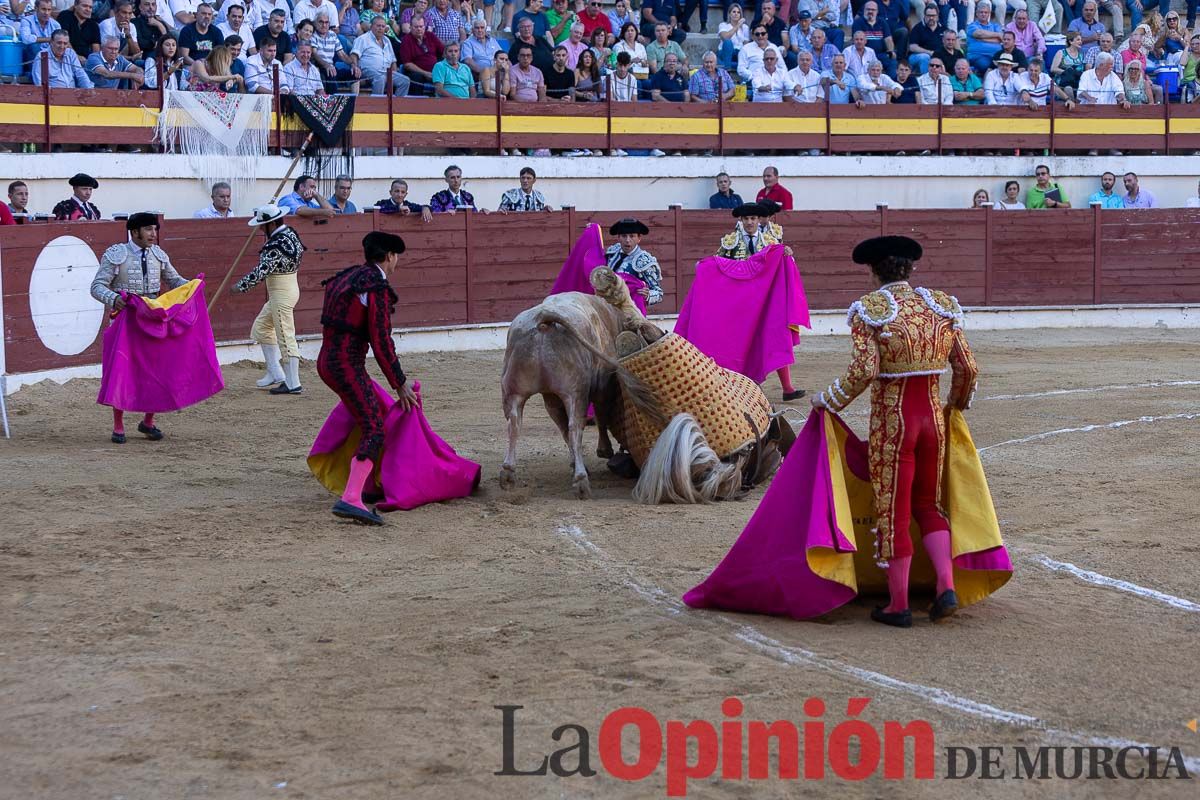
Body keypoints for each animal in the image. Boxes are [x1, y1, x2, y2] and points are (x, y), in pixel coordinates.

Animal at [499, 291, 624, 496]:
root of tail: (542, 318)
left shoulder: (550, 397)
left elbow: (563, 428)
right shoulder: (602, 385)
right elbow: (600, 415)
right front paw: (604, 450)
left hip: (513, 390)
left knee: (515, 423)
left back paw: (508, 473)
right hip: (575, 391)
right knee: (575, 427)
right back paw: (581, 481)